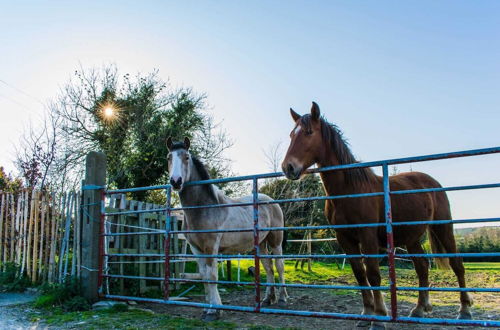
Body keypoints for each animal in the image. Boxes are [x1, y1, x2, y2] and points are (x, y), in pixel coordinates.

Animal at [166, 138, 288, 320]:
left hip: (275, 241)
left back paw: (282, 298)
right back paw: (267, 299)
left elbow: (212, 276)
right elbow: (204, 276)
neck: (204, 208)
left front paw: (213, 310)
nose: (176, 181)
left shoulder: (211, 248)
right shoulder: (196, 249)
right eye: (169, 157)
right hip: (261, 243)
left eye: (186, 157)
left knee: (279, 265)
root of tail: (272, 201)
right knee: (268, 267)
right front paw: (207, 308)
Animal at [282, 102, 472, 328]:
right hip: (411, 238)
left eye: (309, 132)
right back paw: (419, 309)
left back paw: (464, 310)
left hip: (443, 228)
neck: (350, 189)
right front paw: (366, 313)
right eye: (291, 134)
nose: (288, 167)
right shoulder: (345, 238)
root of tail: (433, 183)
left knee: (457, 264)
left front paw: (380, 315)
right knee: (422, 267)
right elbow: (360, 274)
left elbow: (373, 274)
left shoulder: (368, 235)